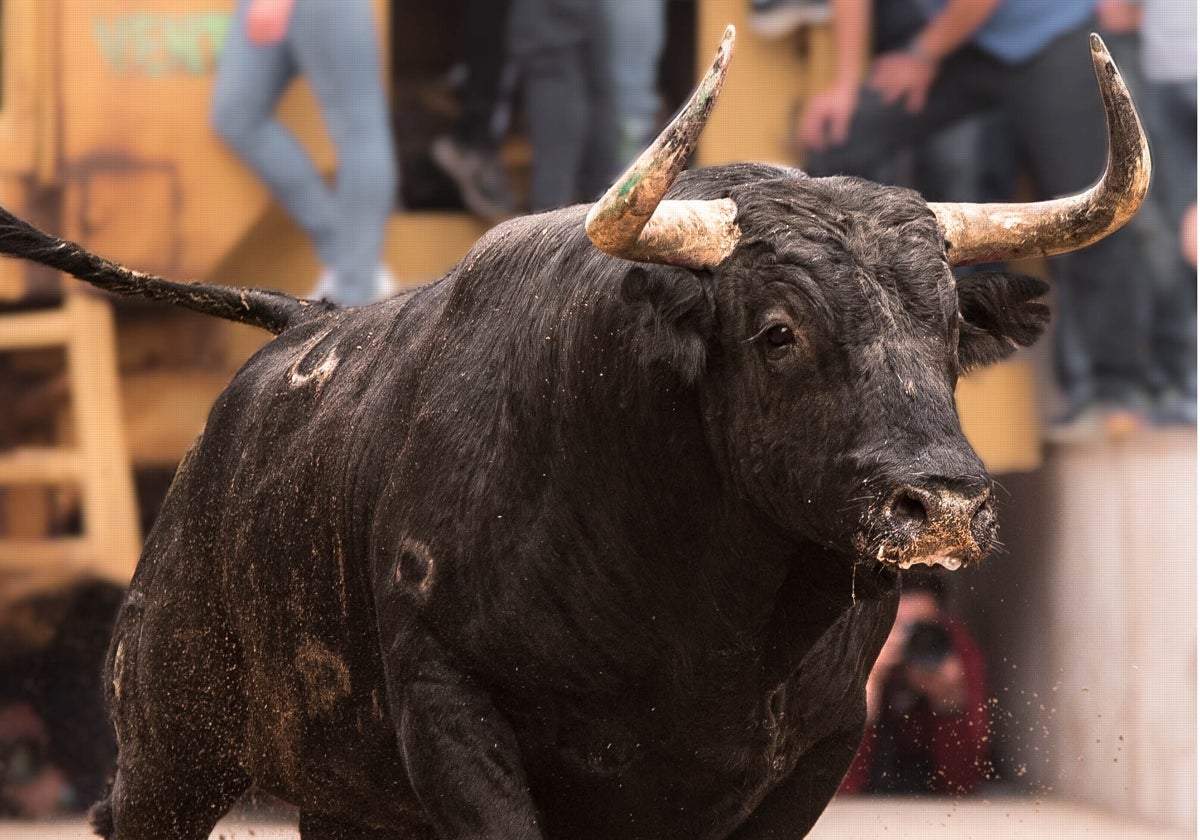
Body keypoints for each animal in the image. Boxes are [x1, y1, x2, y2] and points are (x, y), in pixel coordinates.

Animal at [0, 26, 1147, 840]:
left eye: (950, 328)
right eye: (778, 330)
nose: (942, 502)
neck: (706, 621)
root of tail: (302, 325)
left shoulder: (822, 742)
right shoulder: (453, 714)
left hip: (343, 793)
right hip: (171, 742)